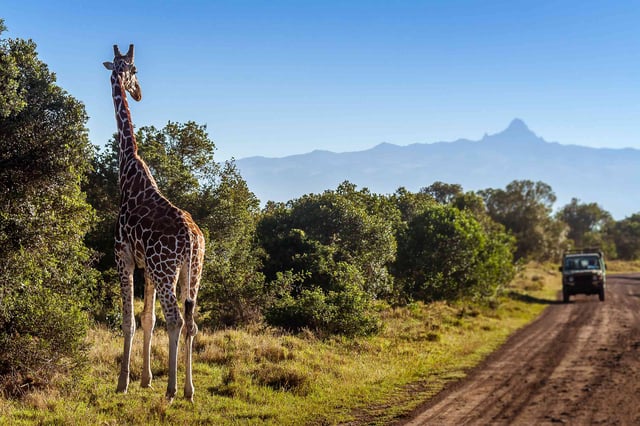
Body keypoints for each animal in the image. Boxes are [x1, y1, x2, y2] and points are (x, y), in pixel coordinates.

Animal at [103, 44, 205, 402]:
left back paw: (172, 389)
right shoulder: (145, 265)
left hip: (166, 270)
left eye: (134, 70)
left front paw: (123, 383)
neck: (127, 169)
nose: (138, 92)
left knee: (176, 319)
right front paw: (146, 379)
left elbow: (129, 320)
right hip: (192, 272)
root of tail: (191, 239)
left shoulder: (123, 255)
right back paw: (188, 389)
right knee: (191, 321)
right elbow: (148, 319)